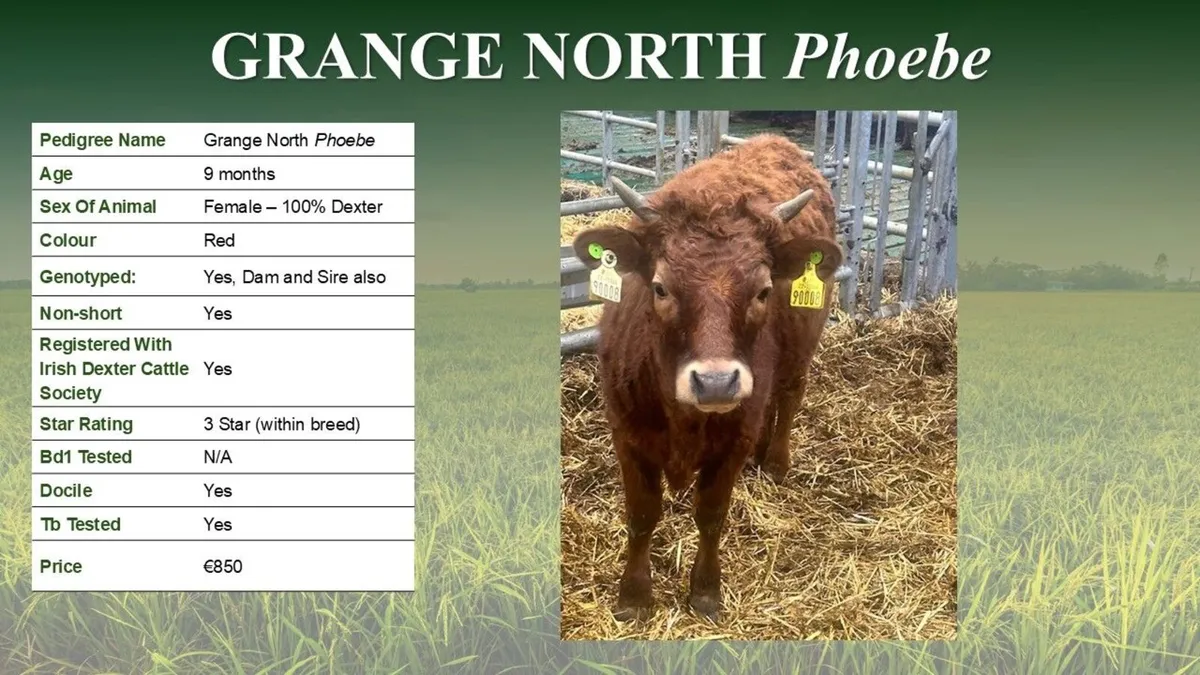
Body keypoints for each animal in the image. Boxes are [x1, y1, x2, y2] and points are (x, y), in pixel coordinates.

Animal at [571, 134, 844, 622]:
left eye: (763, 291)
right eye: (660, 287)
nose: (716, 384)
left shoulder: (730, 444)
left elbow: (711, 514)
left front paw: (704, 591)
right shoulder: (627, 435)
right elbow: (642, 514)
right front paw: (634, 596)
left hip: (802, 347)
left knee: (789, 396)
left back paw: (775, 461)